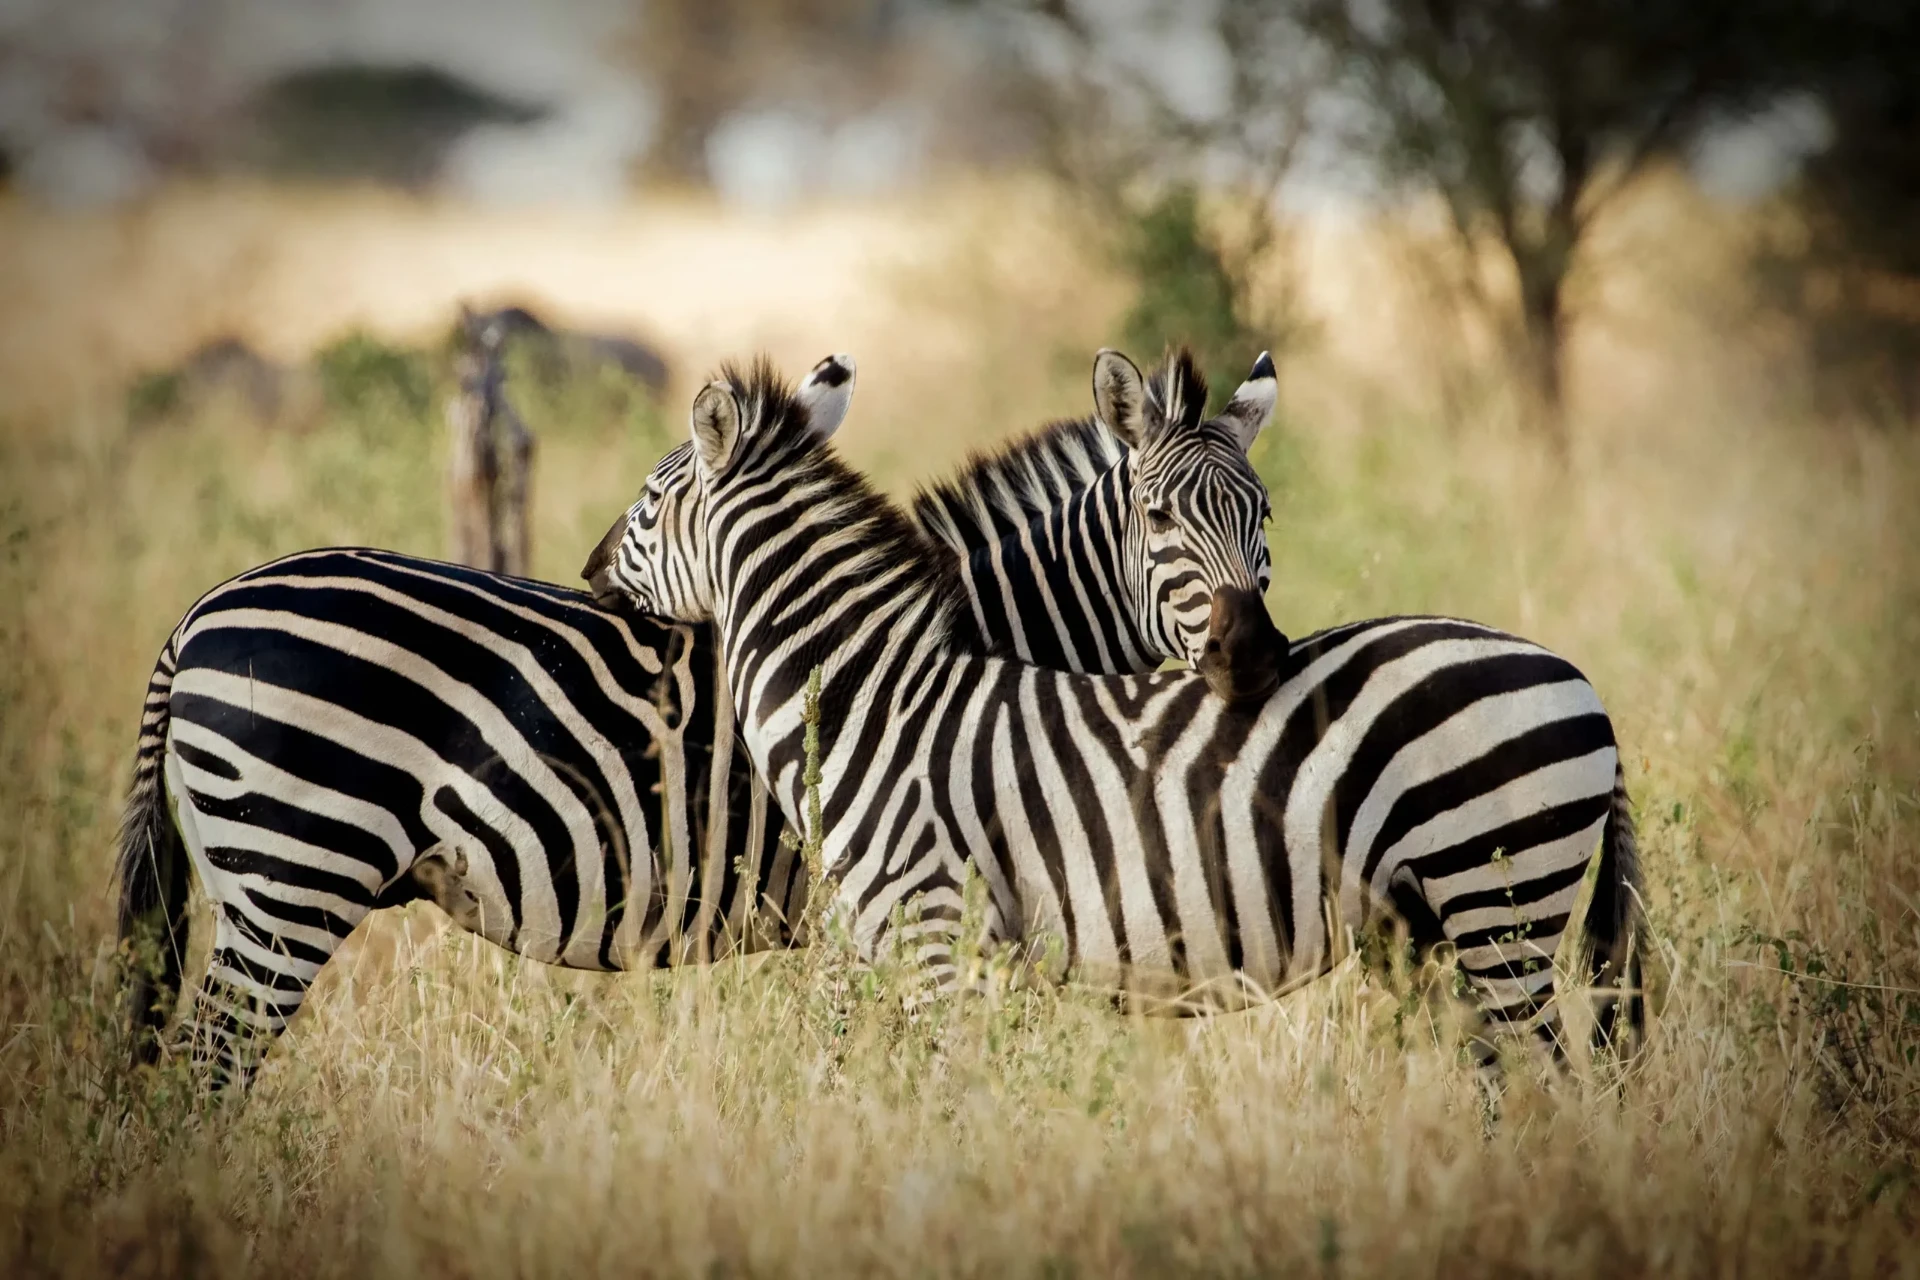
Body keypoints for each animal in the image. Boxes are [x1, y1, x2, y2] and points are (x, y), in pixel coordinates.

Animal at [588, 356, 1642, 1063]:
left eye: (644, 503)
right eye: (1162, 518)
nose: (590, 574)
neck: (870, 696)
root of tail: (1577, 675)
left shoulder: (937, 942)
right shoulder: (889, 944)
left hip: (1499, 900)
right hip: (1452, 924)